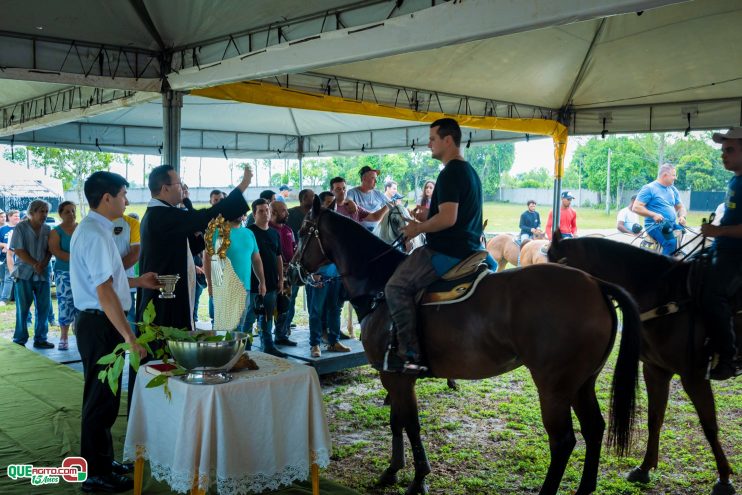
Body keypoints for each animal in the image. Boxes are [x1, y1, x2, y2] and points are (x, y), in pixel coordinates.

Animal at [292, 198, 644, 495]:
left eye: (303, 230)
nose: (294, 268)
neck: (379, 285)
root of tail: (595, 283)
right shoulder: (395, 376)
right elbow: (397, 422)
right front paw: (393, 470)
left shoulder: (396, 377)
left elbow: (411, 424)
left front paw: (418, 479)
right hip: (582, 383)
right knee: (594, 429)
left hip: (554, 387)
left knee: (563, 442)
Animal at [548, 233, 740, 495]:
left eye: (560, 266)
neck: (666, 296)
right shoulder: (655, 370)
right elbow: (654, 418)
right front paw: (644, 468)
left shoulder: (694, 377)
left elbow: (709, 426)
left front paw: (724, 478)